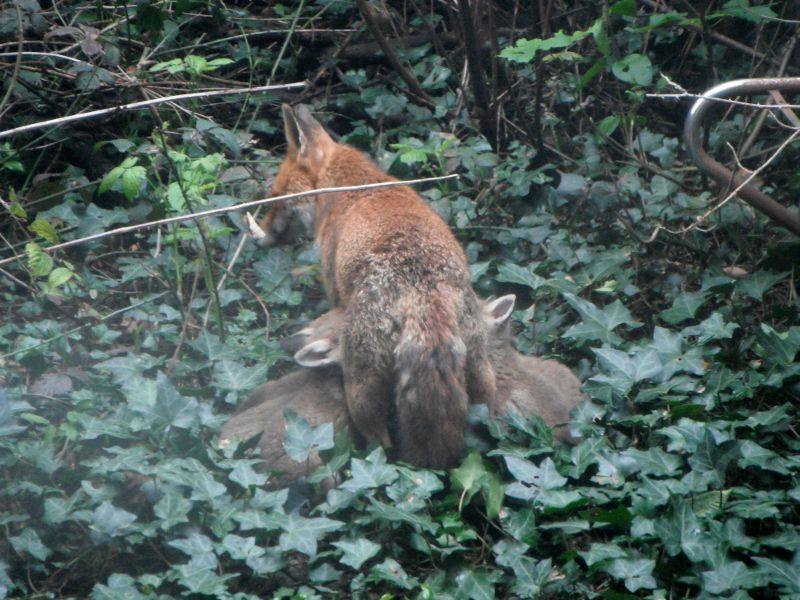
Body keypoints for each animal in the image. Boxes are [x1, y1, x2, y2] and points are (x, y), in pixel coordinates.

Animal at [258, 103, 494, 468]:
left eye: (276, 196)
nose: (262, 238)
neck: (353, 188)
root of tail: (423, 296)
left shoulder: (335, 291)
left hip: (362, 391)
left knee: (381, 444)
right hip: (483, 375)